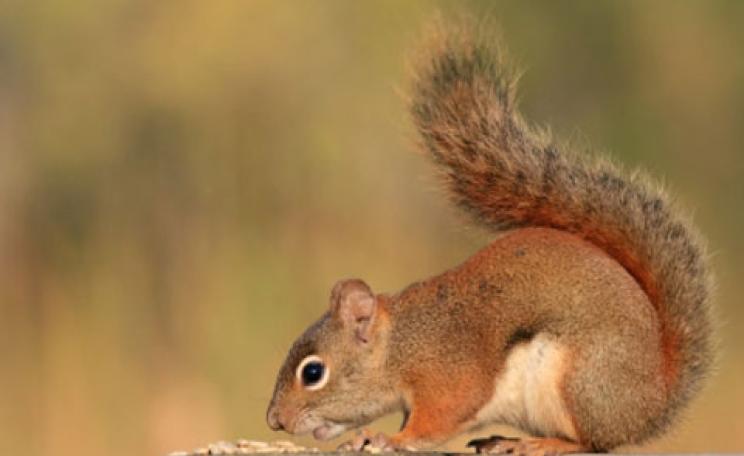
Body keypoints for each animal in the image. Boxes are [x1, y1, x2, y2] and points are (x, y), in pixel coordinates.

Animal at [266, 20, 715, 456]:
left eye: (313, 372)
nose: (275, 421)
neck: (400, 345)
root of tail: (653, 401)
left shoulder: (446, 376)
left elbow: (433, 423)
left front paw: (387, 438)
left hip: (580, 382)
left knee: (592, 442)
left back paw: (538, 443)